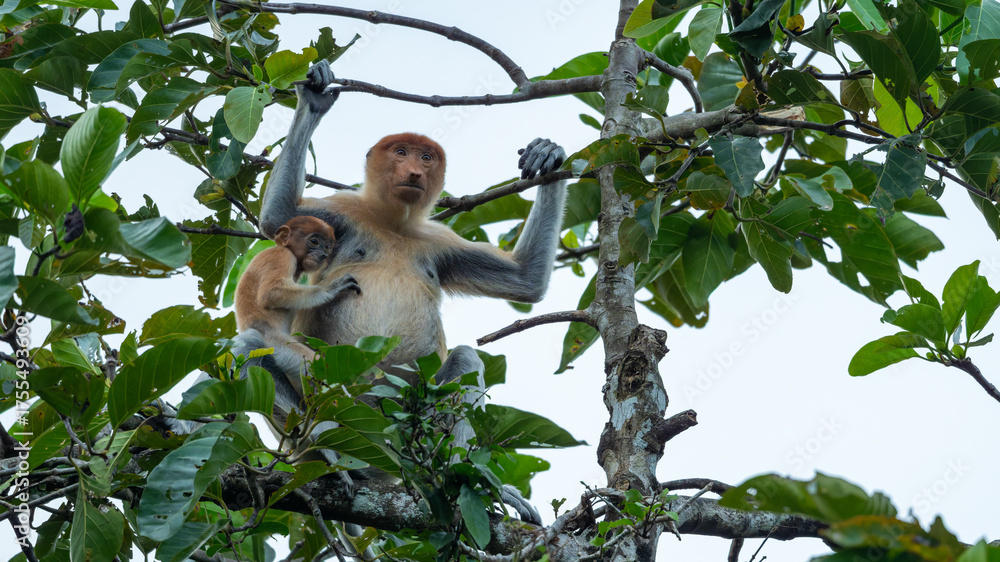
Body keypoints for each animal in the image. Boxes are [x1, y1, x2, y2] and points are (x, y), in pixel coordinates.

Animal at [235, 61, 566, 525]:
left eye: (426, 157)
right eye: (401, 152)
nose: (415, 172)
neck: (393, 222)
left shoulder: (439, 243)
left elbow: (526, 281)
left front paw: (547, 154)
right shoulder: (343, 212)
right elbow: (278, 219)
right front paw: (314, 101)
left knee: (466, 359)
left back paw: (460, 479)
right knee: (251, 347)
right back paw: (328, 452)